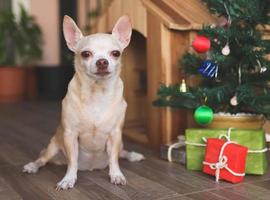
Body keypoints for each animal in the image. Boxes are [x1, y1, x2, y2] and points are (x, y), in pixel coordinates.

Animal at [22, 14, 146, 190]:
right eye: (86, 54)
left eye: (115, 53)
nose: (102, 61)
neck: (97, 93)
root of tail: (90, 167)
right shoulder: (70, 135)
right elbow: (72, 162)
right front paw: (68, 179)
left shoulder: (115, 134)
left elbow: (114, 159)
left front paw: (116, 175)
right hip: (53, 146)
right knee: (42, 159)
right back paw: (32, 166)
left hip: (120, 143)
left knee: (121, 153)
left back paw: (133, 155)